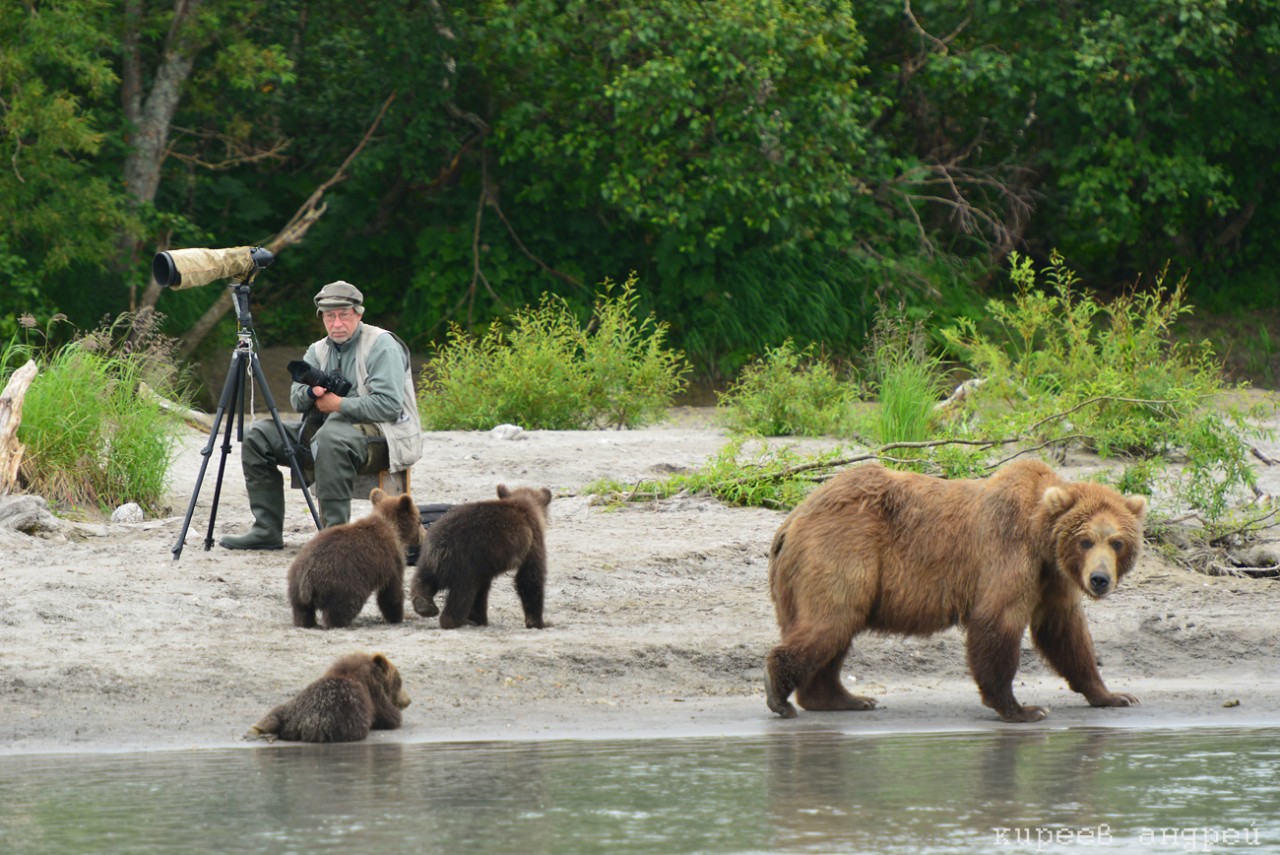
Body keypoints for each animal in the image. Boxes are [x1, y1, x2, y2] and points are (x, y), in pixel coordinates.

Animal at [762, 460, 1146, 721]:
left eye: (1117, 542)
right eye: (1085, 540)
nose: (1099, 579)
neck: (1041, 538)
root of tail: (792, 520)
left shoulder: (1052, 580)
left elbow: (1065, 634)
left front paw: (1114, 695)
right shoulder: (1008, 554)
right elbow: (997, 621)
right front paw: (1022, 708)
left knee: (835, 634)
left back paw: (844, 698)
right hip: (843, 552)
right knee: (830, 621)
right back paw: (780, 695)